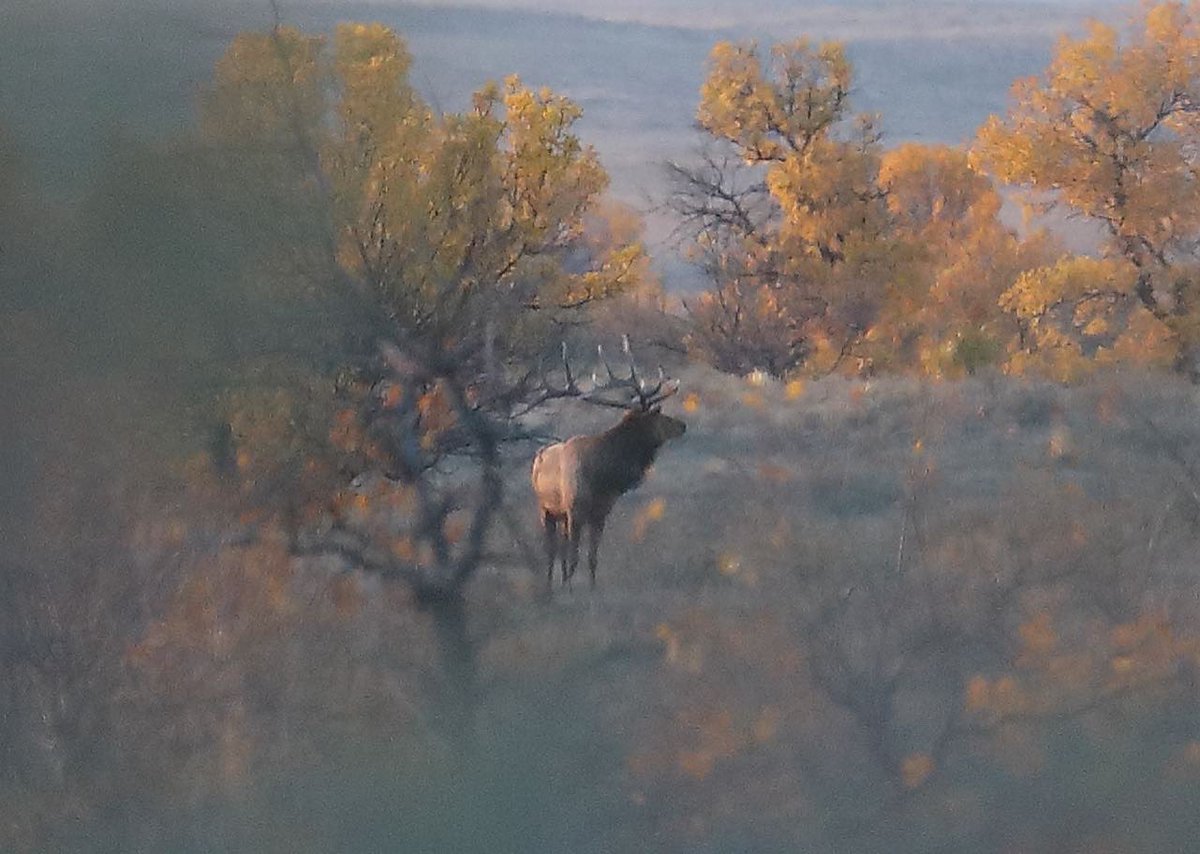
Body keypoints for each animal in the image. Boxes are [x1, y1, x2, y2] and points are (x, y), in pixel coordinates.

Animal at [531, 337, 686, 590]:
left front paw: (592, 589)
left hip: (562, 515)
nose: (683, 425)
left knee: (561, 549)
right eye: (659, 416)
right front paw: (570, 591)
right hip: (546, 509)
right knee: (552, 551)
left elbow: (592, 558)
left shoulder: (601, 513)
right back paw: (550, 586)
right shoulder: (575, 510)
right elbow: (573, 557)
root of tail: (538, 456)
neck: (603, 478)